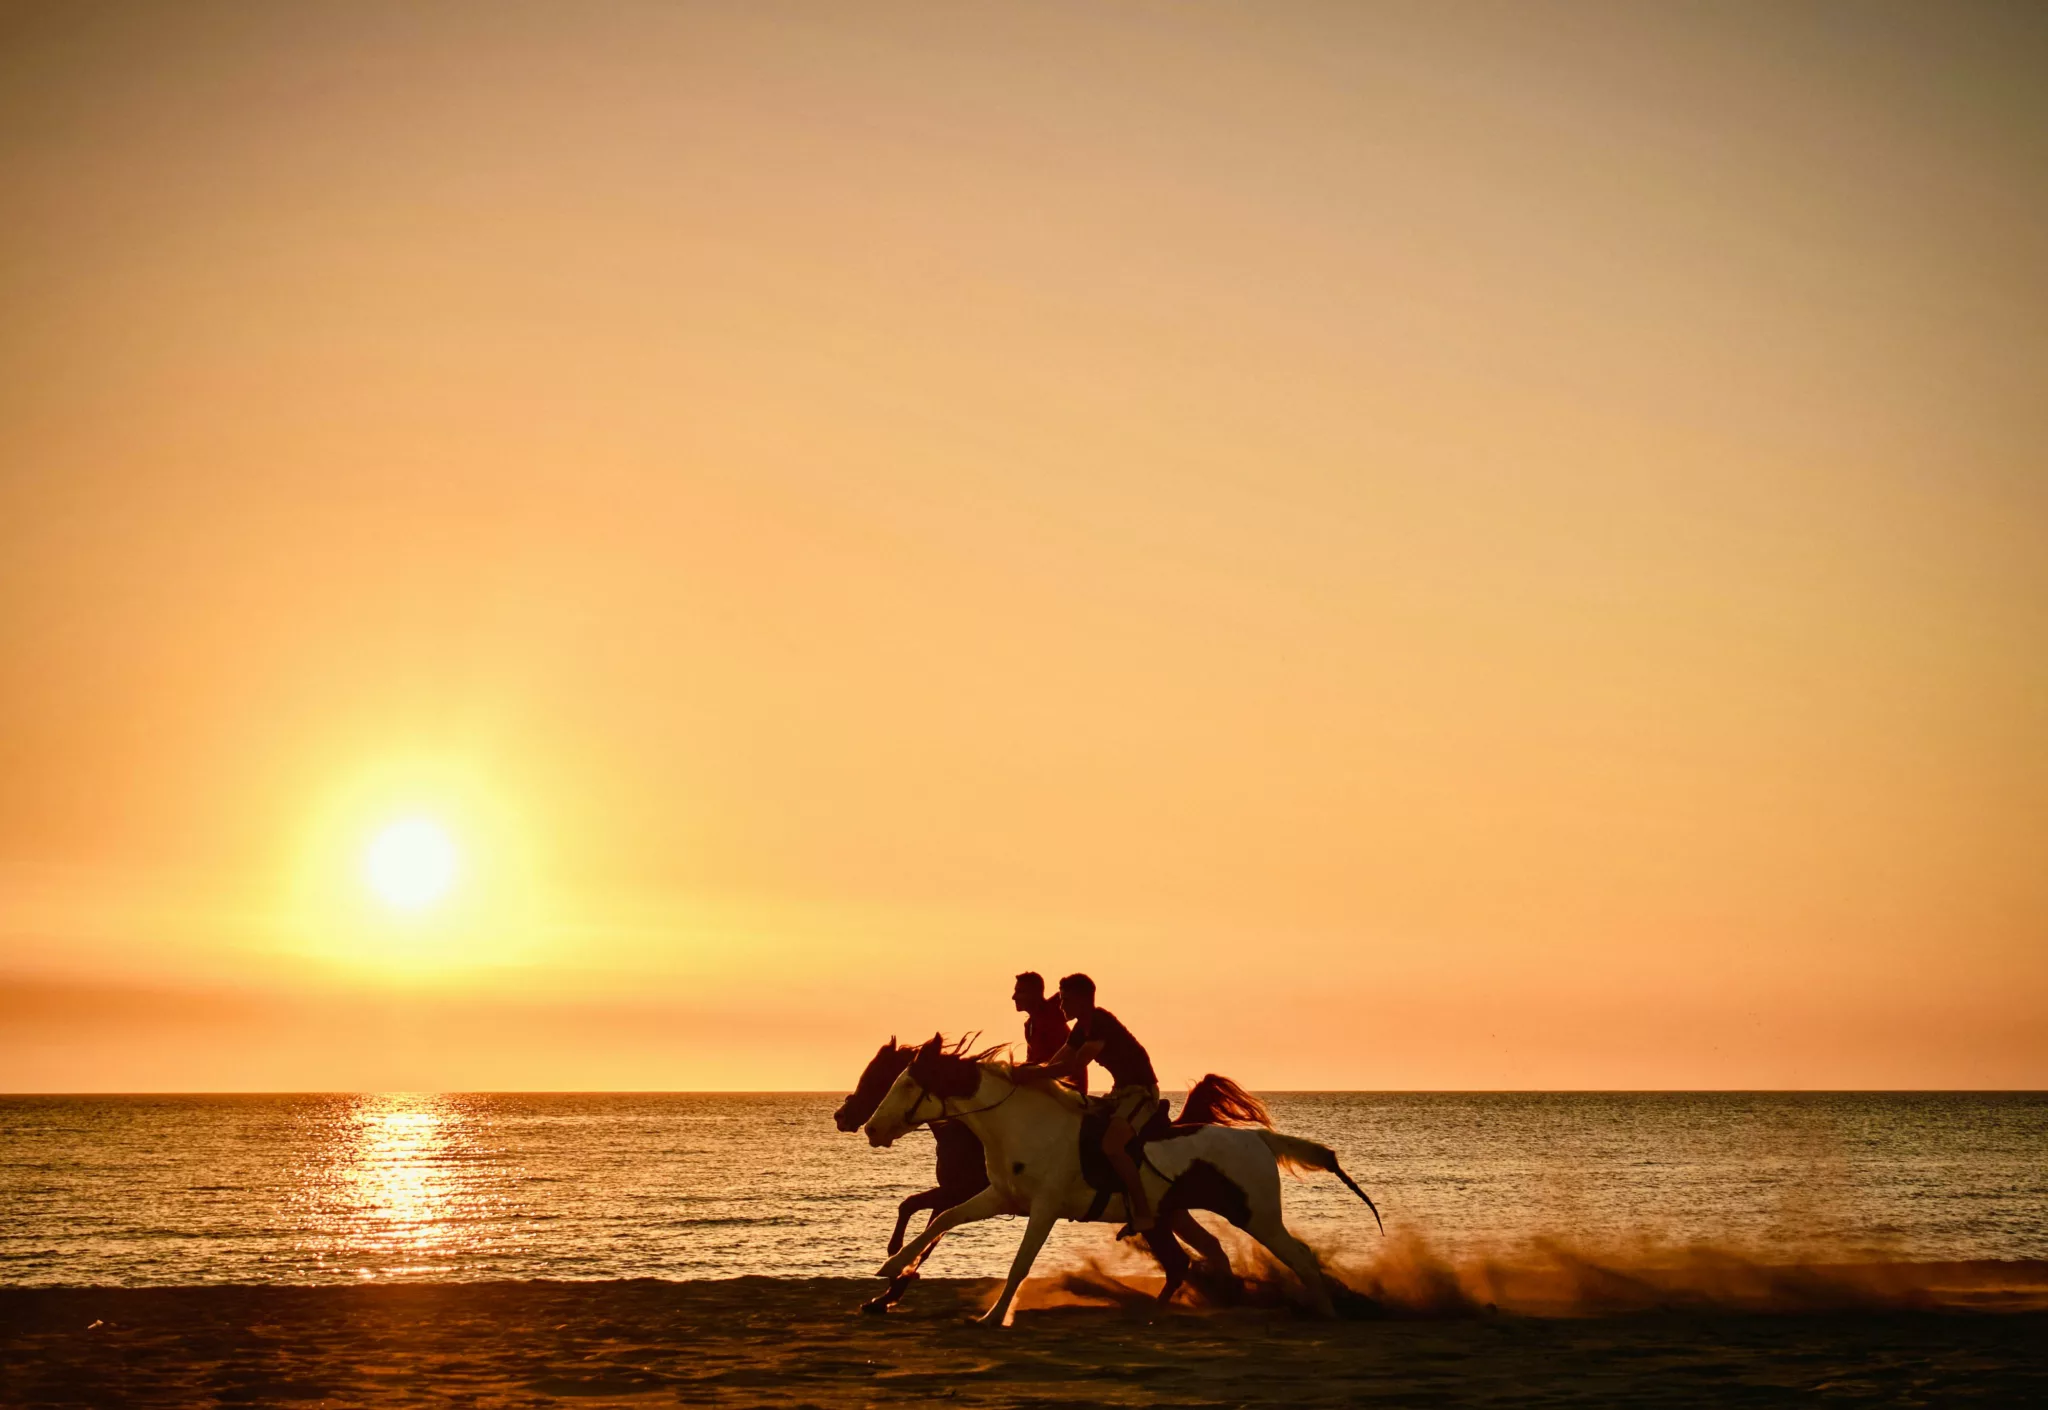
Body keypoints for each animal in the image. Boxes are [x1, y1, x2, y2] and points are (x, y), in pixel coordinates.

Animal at [860, 1037, 1376, 1319]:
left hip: (1256, 1216)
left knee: (1298, 1257)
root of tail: (1261, 1141)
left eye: (906, 1083)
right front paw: (888, 1268)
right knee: (1204, 1253)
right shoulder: (999, 1197)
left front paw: (991, 1316)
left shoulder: (1043, 1208)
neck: (1021, 1124)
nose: (869, 1128)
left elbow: (1020, 1262)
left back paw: (1325, 1311)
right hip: (1177, 1214)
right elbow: (942, 1219)